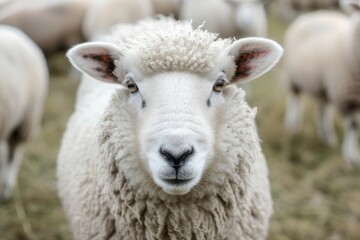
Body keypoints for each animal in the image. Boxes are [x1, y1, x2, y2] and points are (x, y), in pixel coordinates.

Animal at [282, 0, 360, 166]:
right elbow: (353, 125)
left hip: (321, 85)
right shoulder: (347, 96)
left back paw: (326, 137)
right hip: (293, 75)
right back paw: (293, 125)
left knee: (322, 110)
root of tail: (308, 16)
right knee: (294, 98)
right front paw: (349, 157)